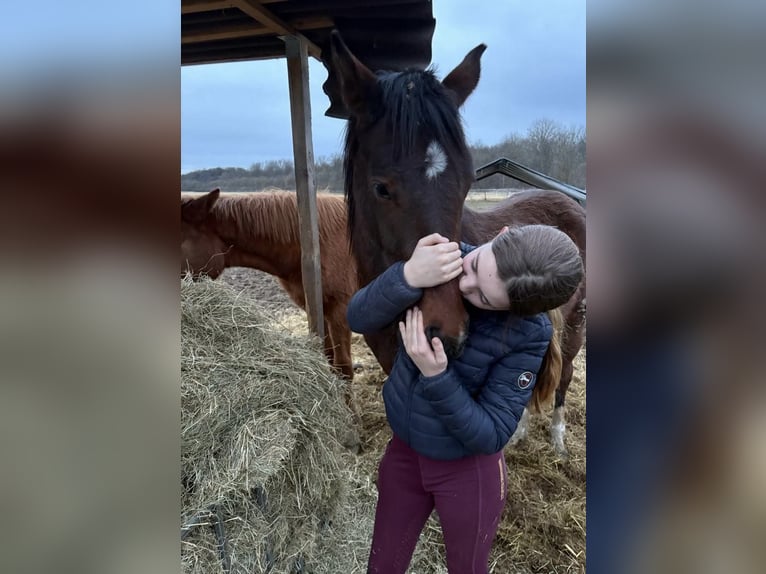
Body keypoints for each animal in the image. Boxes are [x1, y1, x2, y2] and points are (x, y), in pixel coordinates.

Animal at [328, 31, 588, 456]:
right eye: (381, 188)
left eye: (467, 182)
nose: (447, 335)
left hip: (575, 327)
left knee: (563, 375)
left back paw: (558, 440)